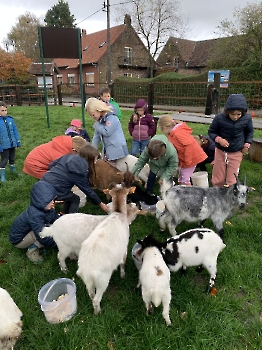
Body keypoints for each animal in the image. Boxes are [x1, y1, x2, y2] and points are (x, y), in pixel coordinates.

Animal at [76, 183, 136, 314]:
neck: (118, 213)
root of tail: (87, 270)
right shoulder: (124, 249)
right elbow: (123, 263)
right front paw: (122, 275)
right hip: (103, 280)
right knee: (96, 299)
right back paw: (98, 313)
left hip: (88, 282)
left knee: (91, 295)